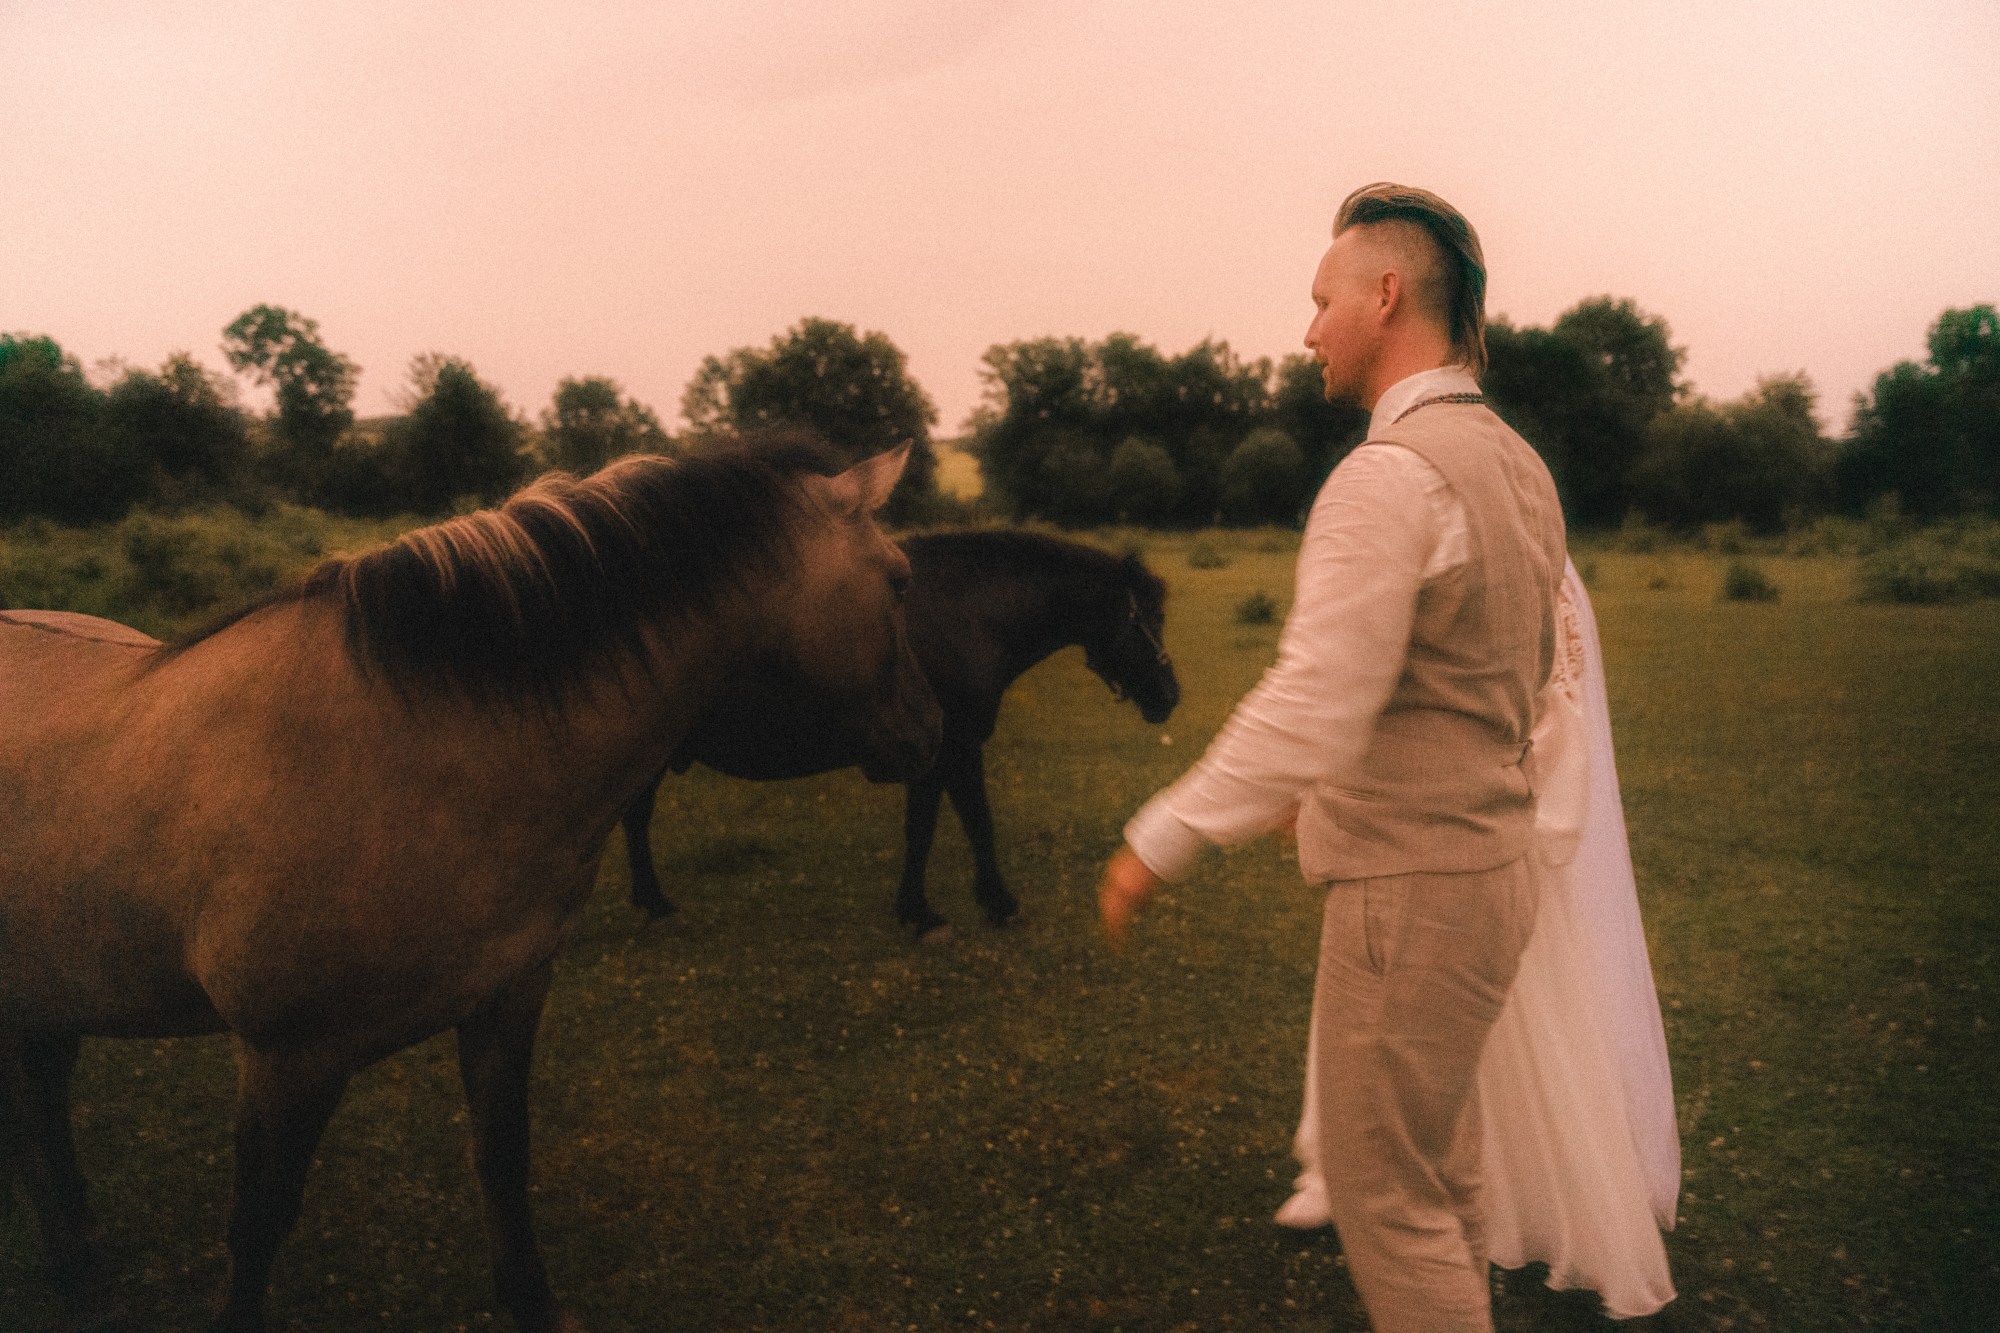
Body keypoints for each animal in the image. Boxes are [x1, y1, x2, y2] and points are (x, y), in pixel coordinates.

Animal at [0, 442, 940, 1333]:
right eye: (899, 580)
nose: (928, 733)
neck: (409, 753)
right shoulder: (286, 1055)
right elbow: (258, 1221)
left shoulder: (505, 1000)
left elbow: (503, 1161)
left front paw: (533, 1304)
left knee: (39, 1107)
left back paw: (80, 1270)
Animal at [622, 528, 1180, 938]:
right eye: (1149, 618)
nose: (1170, 696)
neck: (965, 614)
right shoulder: (948, 750)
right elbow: (947, 828)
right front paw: (935, 912)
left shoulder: (947, 751)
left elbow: (959, 824)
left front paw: (972, 903)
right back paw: (656, 905)